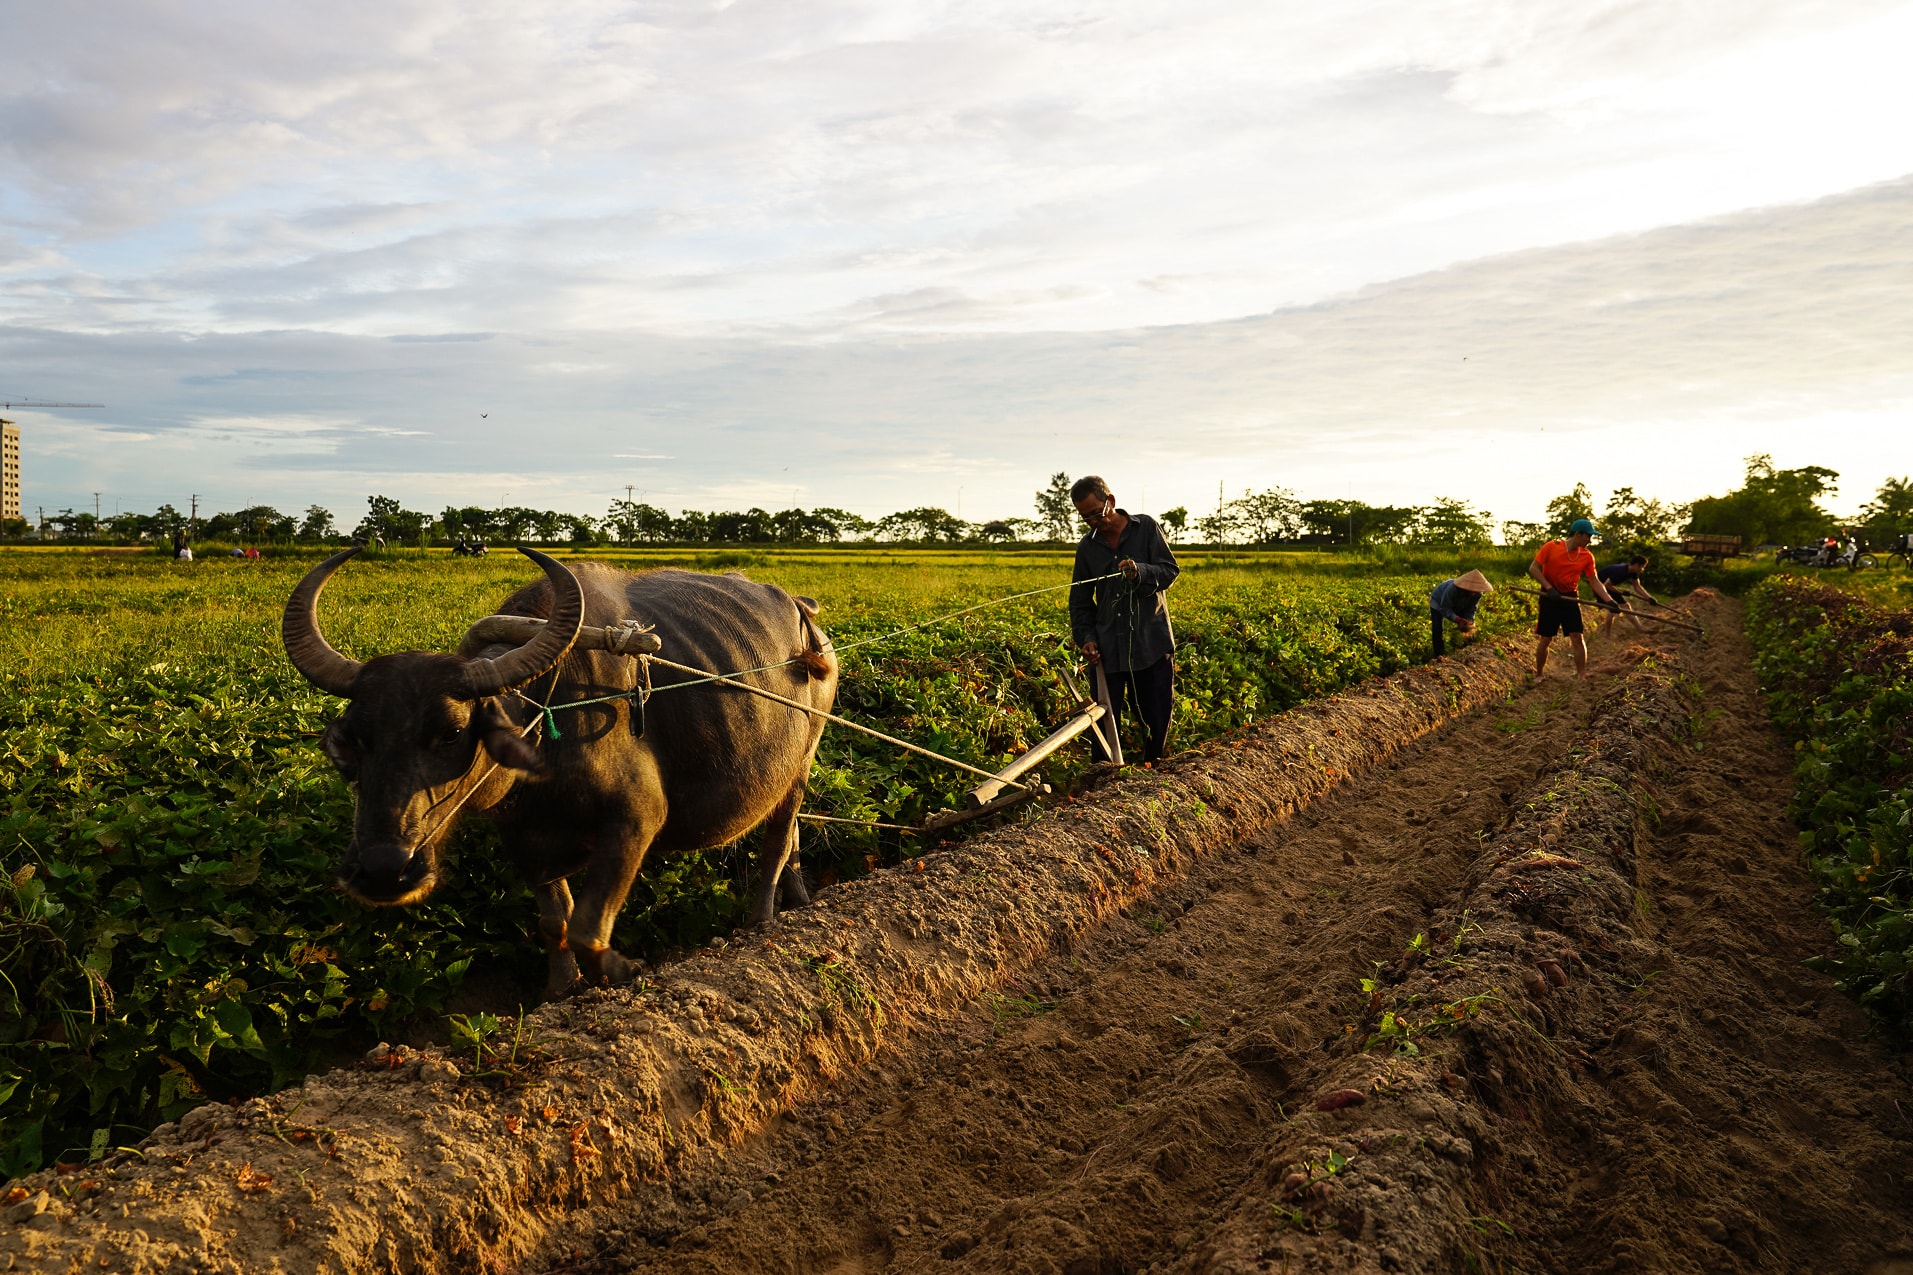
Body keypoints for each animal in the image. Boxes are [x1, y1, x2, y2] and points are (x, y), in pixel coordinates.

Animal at [279, 547, 834, 995]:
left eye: (452, 732)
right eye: (354, 739)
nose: (382, 870)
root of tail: (806, 620)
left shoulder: (636, 820)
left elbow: (589, 926)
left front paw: (623, 970)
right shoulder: (525, 840)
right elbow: (555, 923)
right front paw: (562, 986)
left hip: (803, 761)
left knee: (776, 841)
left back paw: (762, 921)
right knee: (792, 835)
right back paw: (800, 893)